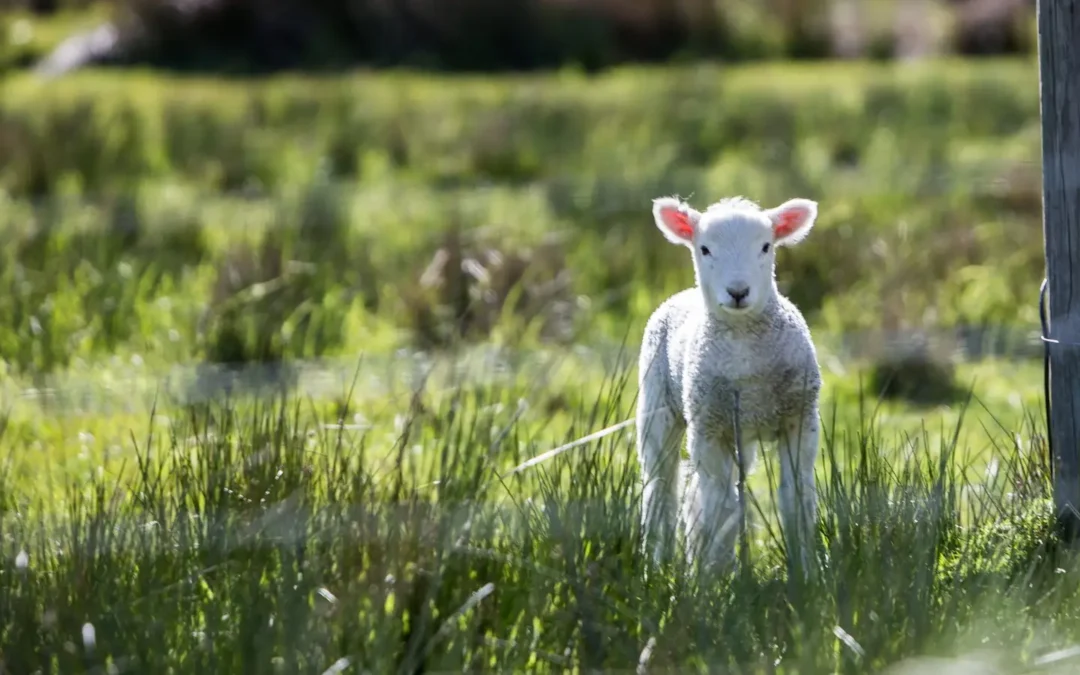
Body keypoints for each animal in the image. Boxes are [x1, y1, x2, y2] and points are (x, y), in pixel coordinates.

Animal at [635, 193, 820, 574]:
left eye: (766, 246)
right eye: (704, 249)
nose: (738, 292)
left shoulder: (800, 418)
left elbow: (796, 498)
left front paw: (805, 571)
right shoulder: (708, 428)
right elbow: (722, 507)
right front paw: (716, 577)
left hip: (739, 433)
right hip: (658, 406)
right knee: (661, 488)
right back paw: (658, 564)